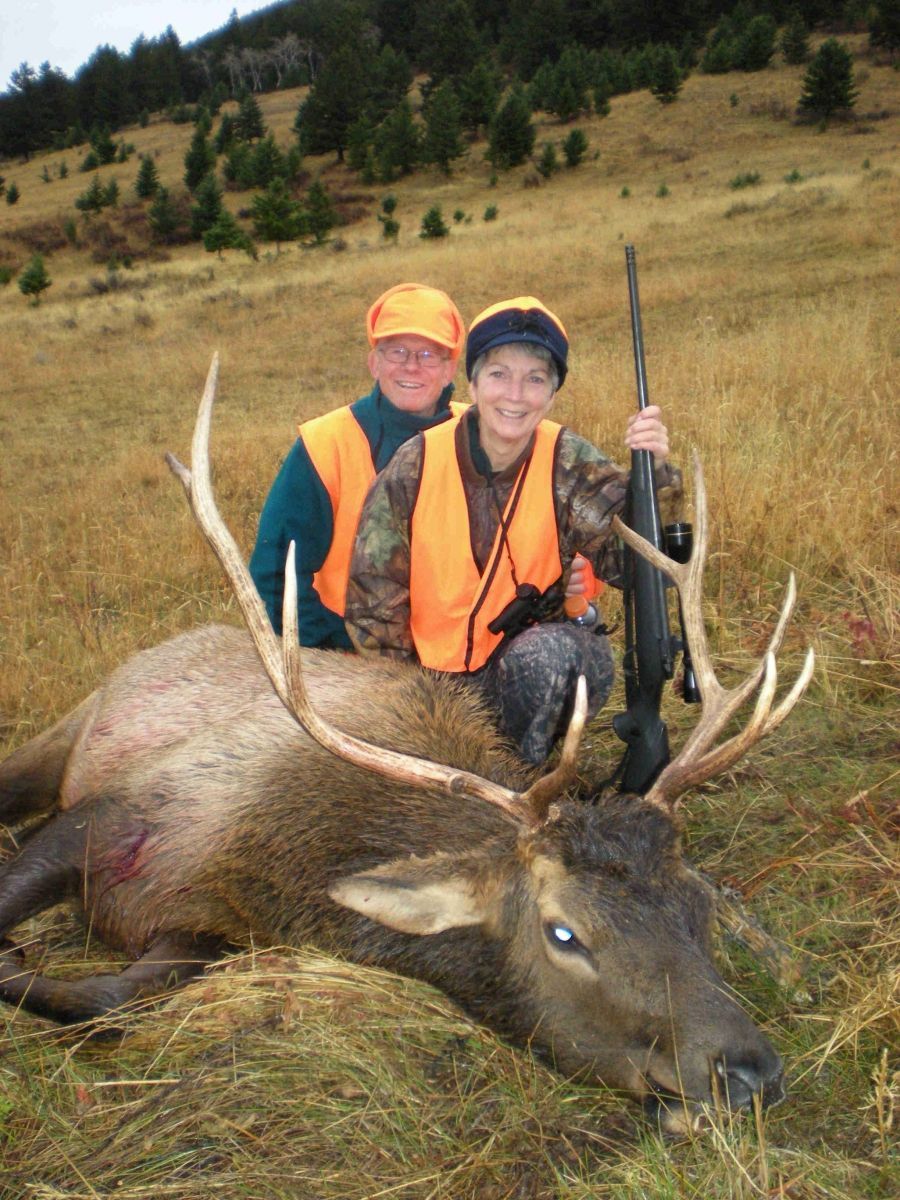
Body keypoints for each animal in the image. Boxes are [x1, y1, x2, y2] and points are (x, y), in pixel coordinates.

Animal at [0, 357, 813, 1134]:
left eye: (696, 909)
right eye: (565, 932)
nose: (751, 1072)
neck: (273, 861)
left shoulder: (201, 931)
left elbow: (107, 998)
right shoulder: (124, 807)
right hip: (68, 732)